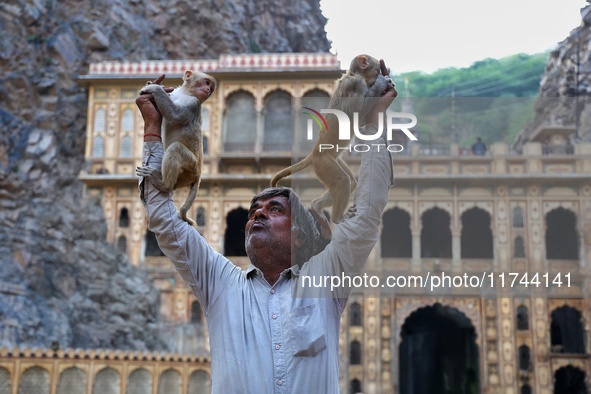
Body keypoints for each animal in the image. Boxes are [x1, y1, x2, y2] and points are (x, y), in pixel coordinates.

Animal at [135, 69, 216, 226]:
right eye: (207, 83)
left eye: (210, 86)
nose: (209, 89)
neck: (186, 93)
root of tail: (199, 172)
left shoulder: (193, 104)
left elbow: (175, 116)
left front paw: (155, 88)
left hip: (190, 166)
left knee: (175, 148)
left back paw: (164, 185)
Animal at [272, 56, 394, 226]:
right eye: (376, 70)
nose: (382, 74)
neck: (356, 74)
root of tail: (314, 152)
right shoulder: (357, 84)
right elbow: (361, 108)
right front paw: (382, 82)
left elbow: (362, 121)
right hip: (323, 163)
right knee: (342, 181)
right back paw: (337, 218)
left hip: (332, 160)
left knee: (350, 182)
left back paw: (316, 206)